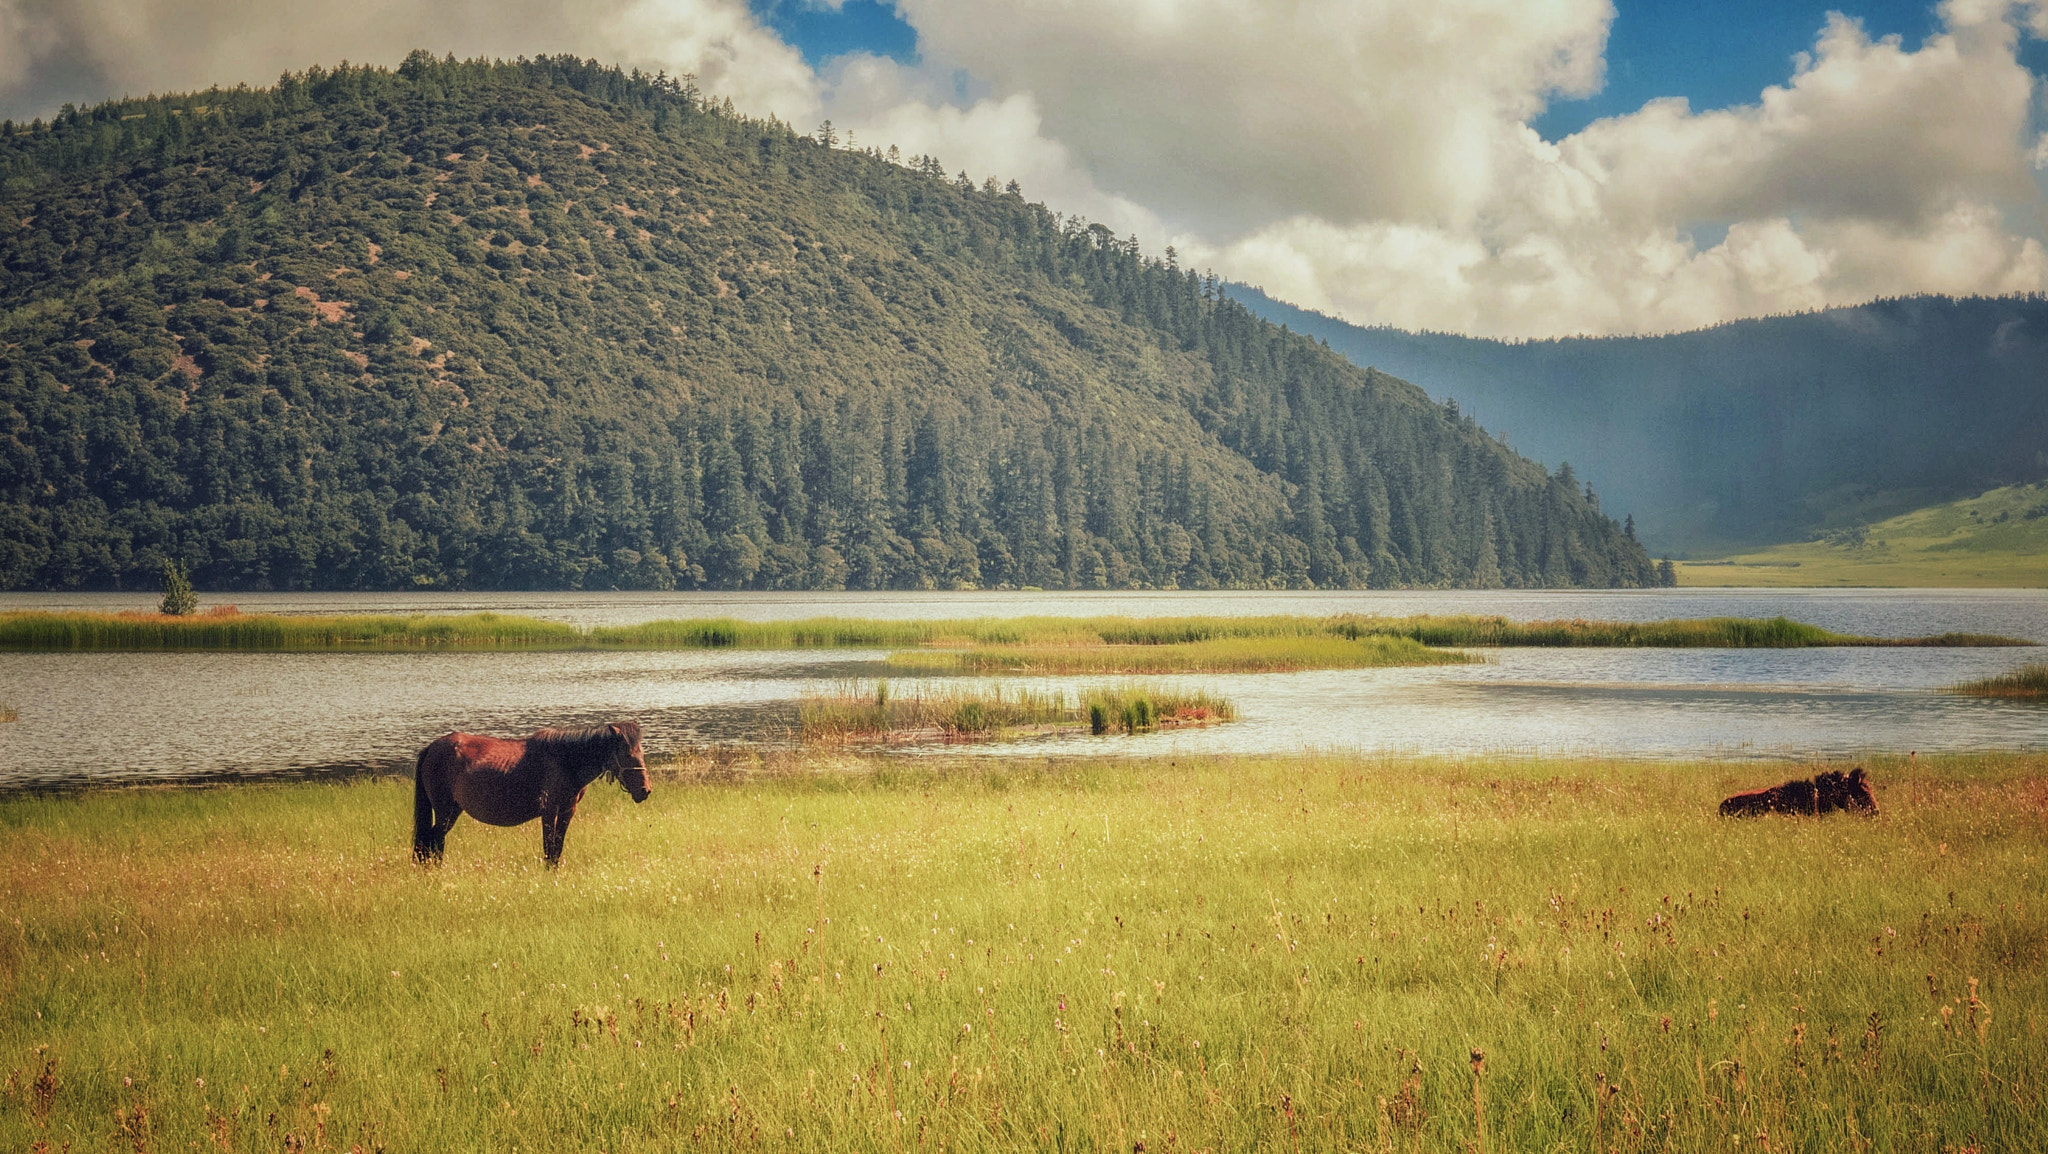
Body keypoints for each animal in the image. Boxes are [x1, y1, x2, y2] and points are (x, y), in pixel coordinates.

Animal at [413, 720, 650, 866]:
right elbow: (549, 847)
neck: (564, 760)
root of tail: (432, 747)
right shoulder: (549, 811)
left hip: (453, 810)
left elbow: (557, 848)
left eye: (642, 752)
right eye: (627, 755)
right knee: (432, 841)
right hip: (444, 811)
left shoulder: (567, 811)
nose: (645, 791)